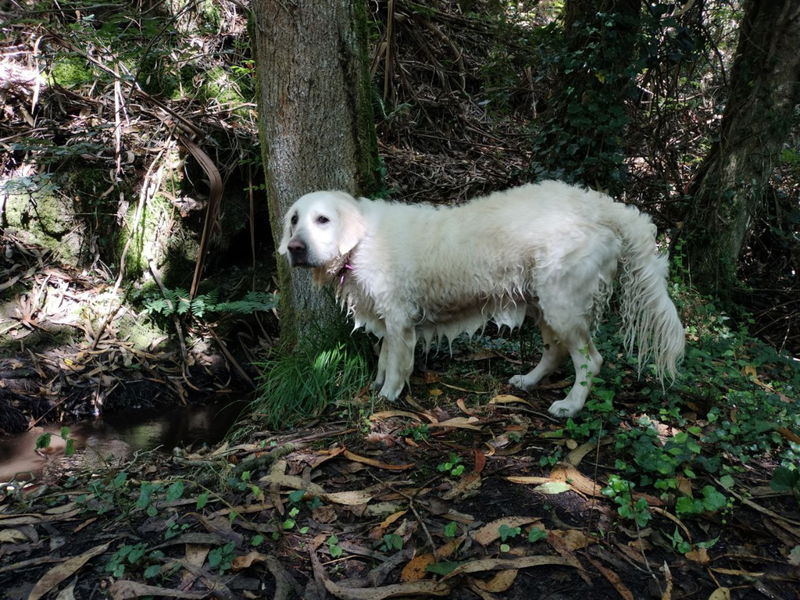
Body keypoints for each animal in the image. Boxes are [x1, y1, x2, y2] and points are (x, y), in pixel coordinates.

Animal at [278, 182, 684, 418]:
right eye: (295, 219)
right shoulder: (387, 319)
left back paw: (570, 405)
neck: (361, 241)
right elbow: (383, 358)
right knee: (554, 350)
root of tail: (603, 206)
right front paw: (377, 386)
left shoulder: (398, 319)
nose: (294, 249)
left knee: (590, 360)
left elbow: (395, 365)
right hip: (543, 302)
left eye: (323, 220)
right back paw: (528, 380)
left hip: (563, 303)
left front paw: (388, 397)